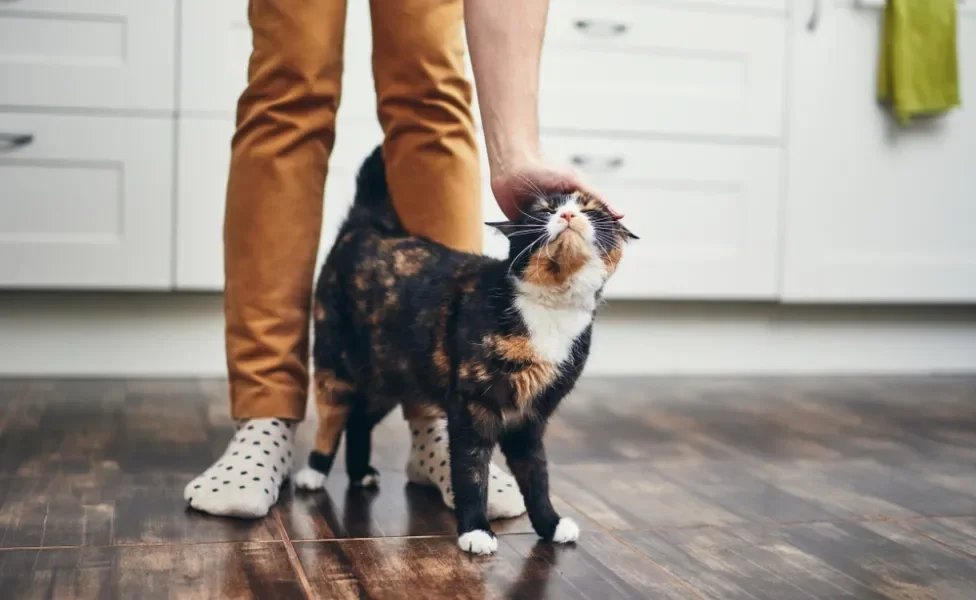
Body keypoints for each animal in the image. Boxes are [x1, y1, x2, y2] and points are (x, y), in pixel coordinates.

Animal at [294, 146, 636, 556]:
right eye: (543, 209)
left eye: (591, 210)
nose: (568, 215)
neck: (551, 309)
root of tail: (367, 226)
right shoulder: (473, 406)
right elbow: (472, 472)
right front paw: (475, 530)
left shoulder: (531, 418)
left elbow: (537, 476)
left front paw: (550, 524)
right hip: (336, 362)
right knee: (333, 417)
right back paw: (313, 471)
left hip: (390, 377)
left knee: (360, 419)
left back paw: (360, 473)